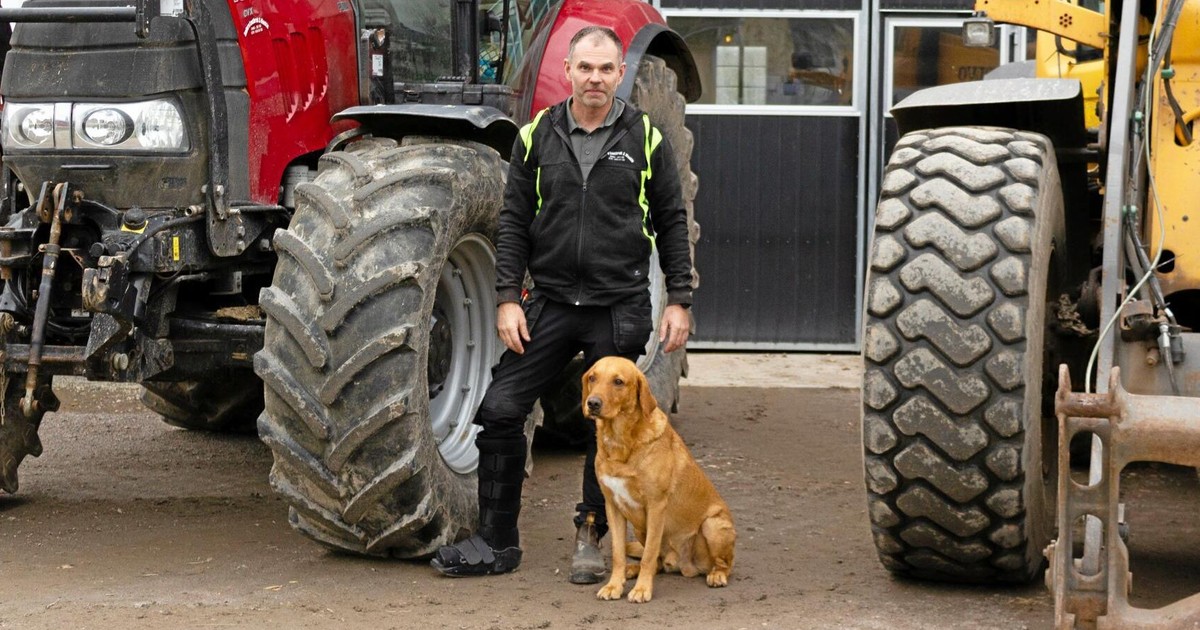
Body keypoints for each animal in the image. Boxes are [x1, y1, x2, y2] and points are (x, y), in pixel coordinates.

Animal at [581, 356, 736, 603]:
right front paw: (614, 585)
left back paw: (717, 575)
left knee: (724, 564)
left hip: (713, 525)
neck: (621, 443)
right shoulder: (613, 507)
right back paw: (632, 570)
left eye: (618, 381)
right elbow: (618, 553)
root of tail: (684, 566)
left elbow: (649, 555)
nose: (592, 403)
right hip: (639, 527)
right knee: (658, 564)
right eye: (593, 378)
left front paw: (642, 589)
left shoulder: (656, 507)